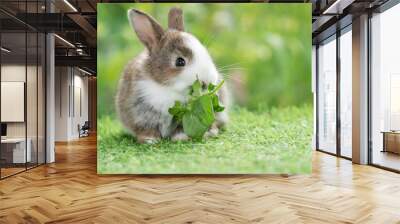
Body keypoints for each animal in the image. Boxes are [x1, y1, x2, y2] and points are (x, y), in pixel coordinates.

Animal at [115, 7, 228, 144]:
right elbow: (146, 128)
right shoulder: (141, 115)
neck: (168, 87)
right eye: (180, 61)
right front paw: (150, 140)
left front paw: (180, 137)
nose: (208, 80)